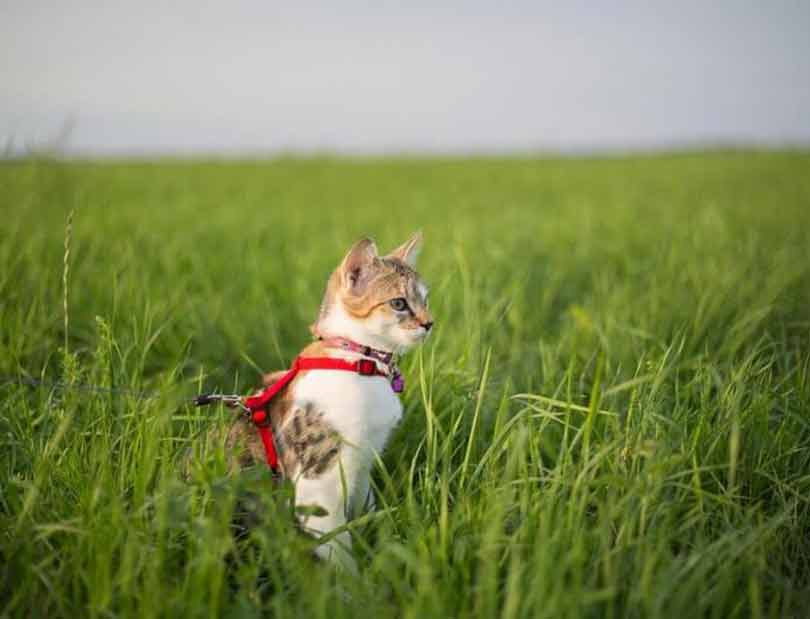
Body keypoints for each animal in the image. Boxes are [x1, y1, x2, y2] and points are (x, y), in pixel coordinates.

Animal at [221, 234, 432, 572]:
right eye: (399, 303)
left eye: (425, 300)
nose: (429, 323)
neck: (359, 360)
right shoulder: (318, 482)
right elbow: (337, 546)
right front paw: (353, 583)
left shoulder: (363, 467)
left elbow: (365, 511)